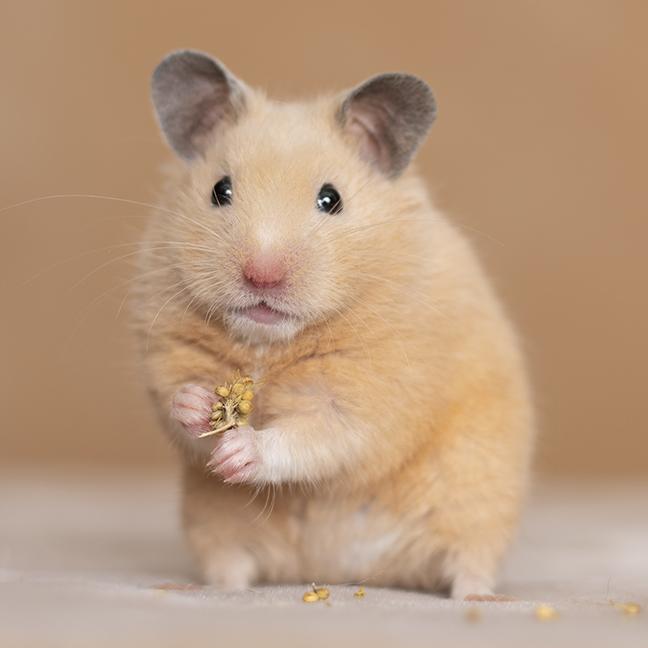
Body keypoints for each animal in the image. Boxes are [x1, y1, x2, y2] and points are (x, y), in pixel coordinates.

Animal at [134, 50, 534, 599]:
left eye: (331, 199)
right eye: (220, 190)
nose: (261, 275)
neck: (269, 345)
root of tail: (342, 571)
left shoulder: (372, 398)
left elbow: (318, 433)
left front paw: (239, 452)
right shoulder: (165, 350)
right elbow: (174, 404)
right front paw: (196, 404)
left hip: (477, 499)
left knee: (470, 559)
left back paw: (481, 597)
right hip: (213, 523)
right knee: (229, 564)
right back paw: (218, 590)